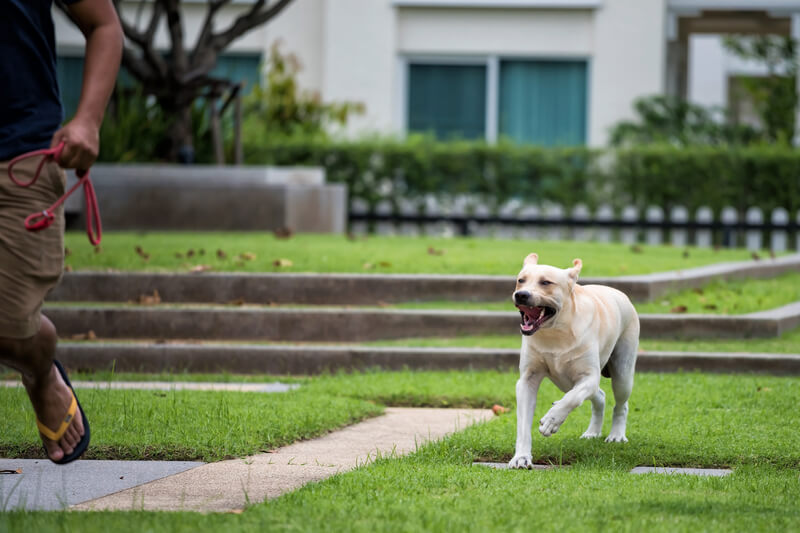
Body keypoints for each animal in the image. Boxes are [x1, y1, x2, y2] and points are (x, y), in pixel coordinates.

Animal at [510, 251, 640, 468]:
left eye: (546, 282)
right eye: (521, 280)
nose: (521, 295)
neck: (556, 332)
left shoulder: (589, 377)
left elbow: (572, 399)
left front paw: (552, 420)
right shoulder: (527, 380)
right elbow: (523, 423)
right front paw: (521, 457)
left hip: (623, 371)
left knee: (620, 403)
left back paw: (616, 435)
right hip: (566, 382)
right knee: (599, 396)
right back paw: (593, 432)